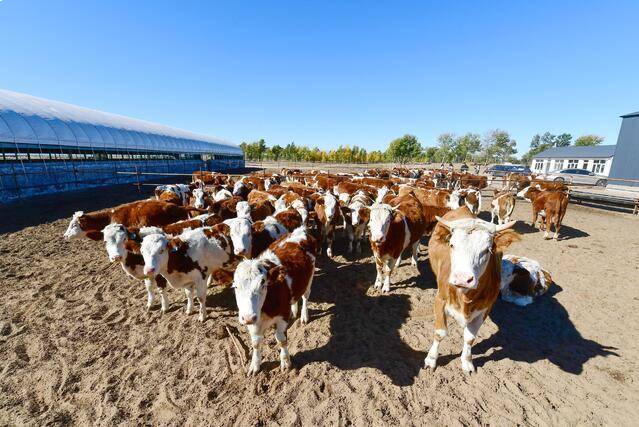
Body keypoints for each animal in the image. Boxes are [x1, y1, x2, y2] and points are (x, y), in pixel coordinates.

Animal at [232, 227, 318, 374]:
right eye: (235, 286)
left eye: (263, 284)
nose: (248, 318)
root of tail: (300, 230)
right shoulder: (252, 320)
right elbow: (255, 343)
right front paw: (255, 365)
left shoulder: (282, 315)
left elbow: (281, 339)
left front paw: (286, 362)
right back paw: (294, 310)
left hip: (309, 278)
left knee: (305, 297)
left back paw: (304, 316)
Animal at [424, 209, 520, 372]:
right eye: (452, 245)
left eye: (487, 250)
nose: (462, 279)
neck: (465, 298)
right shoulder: (440, 300)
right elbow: (440, 332)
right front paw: (431, 359)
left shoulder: (484, 310)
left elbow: (470, 338)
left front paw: (467, 361)